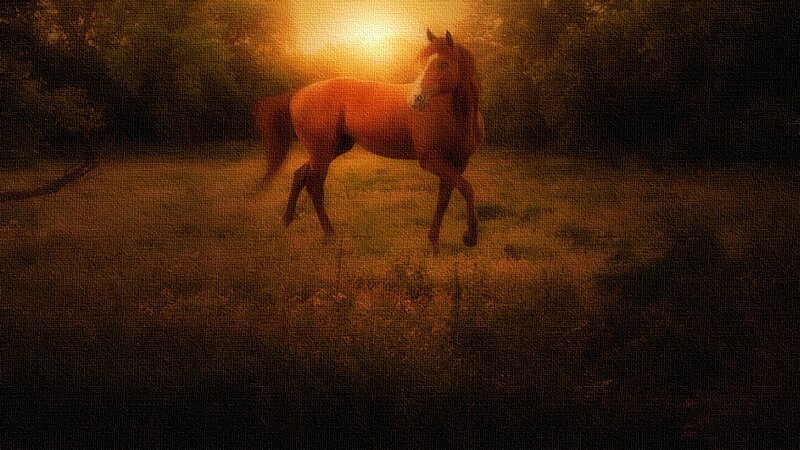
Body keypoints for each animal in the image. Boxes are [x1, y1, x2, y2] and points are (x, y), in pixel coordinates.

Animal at [254, 29, 484, 254]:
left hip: (331, 149)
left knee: (300, 176)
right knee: (315, 188)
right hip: (321, 152)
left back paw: (286, 221)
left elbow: (445, 197)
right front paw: (470, 237)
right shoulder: (431, 160)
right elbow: (467, 189)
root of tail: (298, 94)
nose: (415, 99)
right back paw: (330, 234)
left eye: (443, 63)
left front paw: (435, 243)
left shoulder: (457, 162)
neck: (453, 114)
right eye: (421, 62)